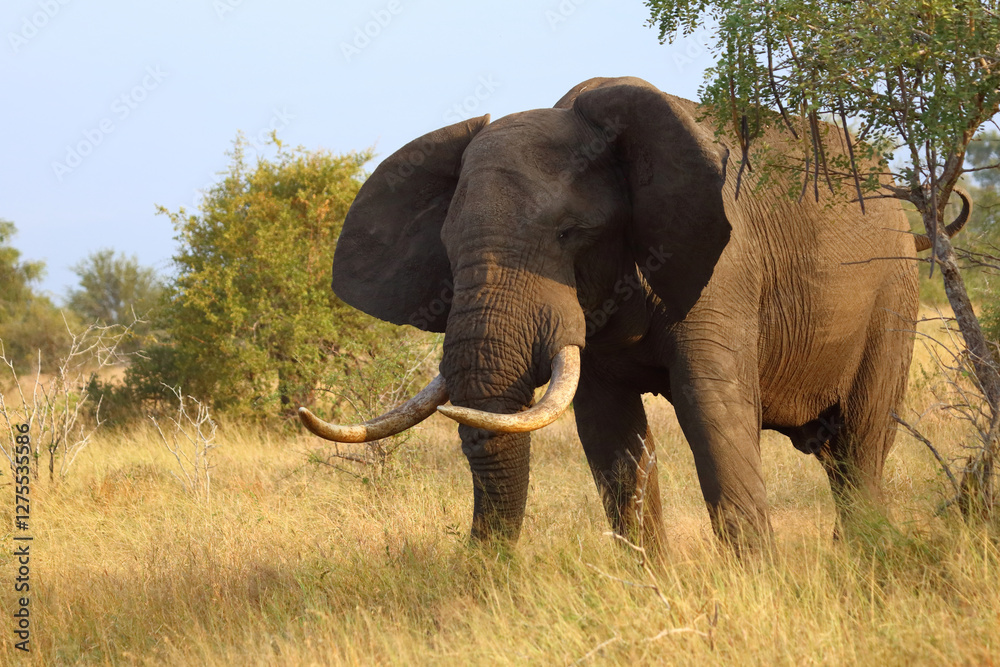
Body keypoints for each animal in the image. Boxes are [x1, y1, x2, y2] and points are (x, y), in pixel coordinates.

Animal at [299, 76, 969, 552]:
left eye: (569, 233)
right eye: (446, 246)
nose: (485, 572)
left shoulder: (724, 266)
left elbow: (711, 408)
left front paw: (758, 585)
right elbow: (609, 432)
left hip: (893, 291)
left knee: (860, 446)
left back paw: (870, 558)